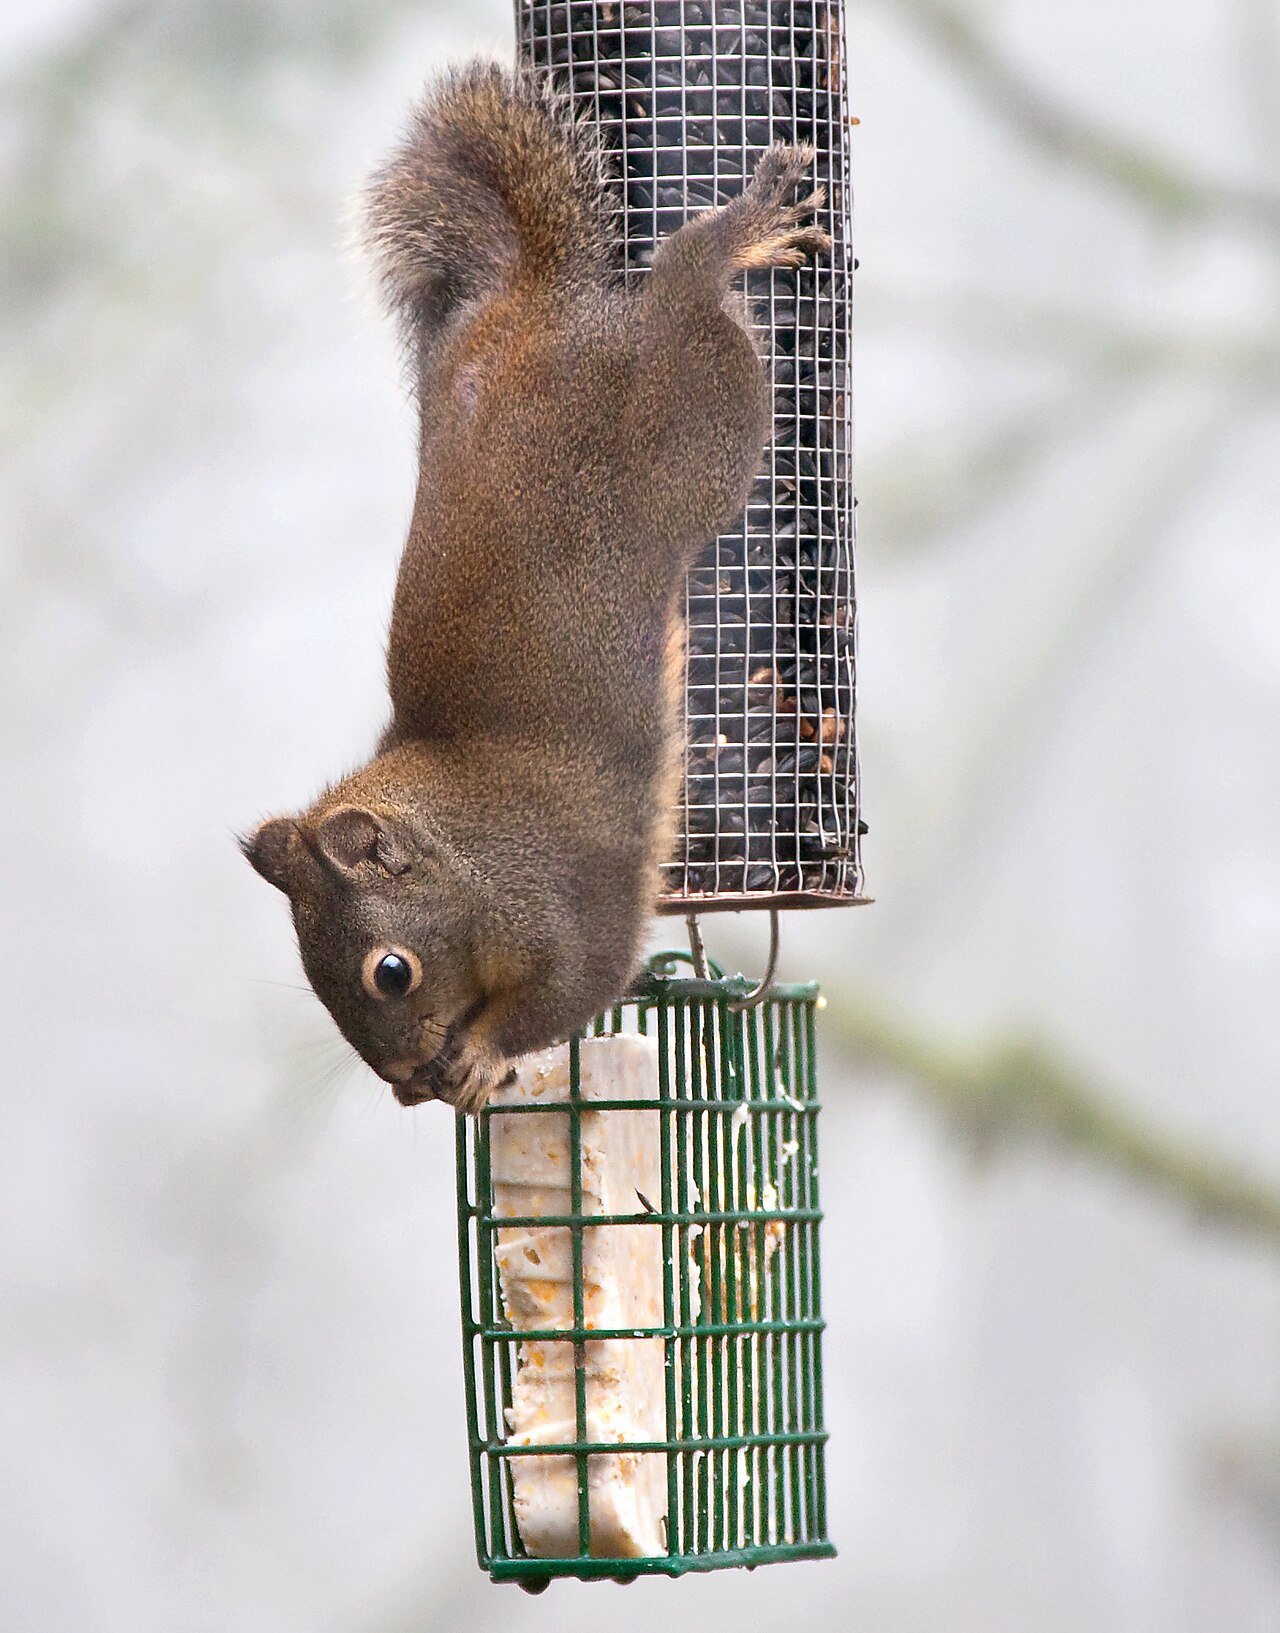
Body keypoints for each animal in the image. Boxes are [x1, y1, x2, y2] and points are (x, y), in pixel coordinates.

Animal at [243, 63, 828, 1111]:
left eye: (390, 971)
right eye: (314, 980)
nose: (406, 1087)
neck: (471, 848)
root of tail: (532, 304)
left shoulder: (563, 903)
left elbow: (573, 985)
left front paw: (478, 1055)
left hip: (699, 421)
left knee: (689, 292)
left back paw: (739, 230)